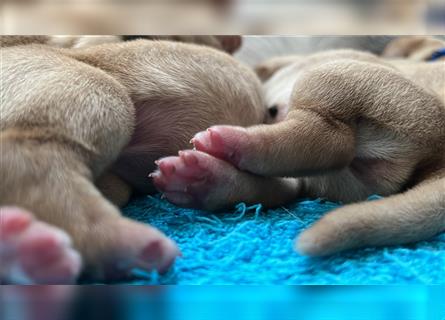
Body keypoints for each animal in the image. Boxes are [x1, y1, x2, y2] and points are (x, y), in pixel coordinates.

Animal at [153, 35, 444, 255]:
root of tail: (435, 156)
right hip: (344, 177)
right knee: (291, 179)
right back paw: (202, 179)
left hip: (336, 78)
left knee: (329, 139)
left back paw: (234, 142)